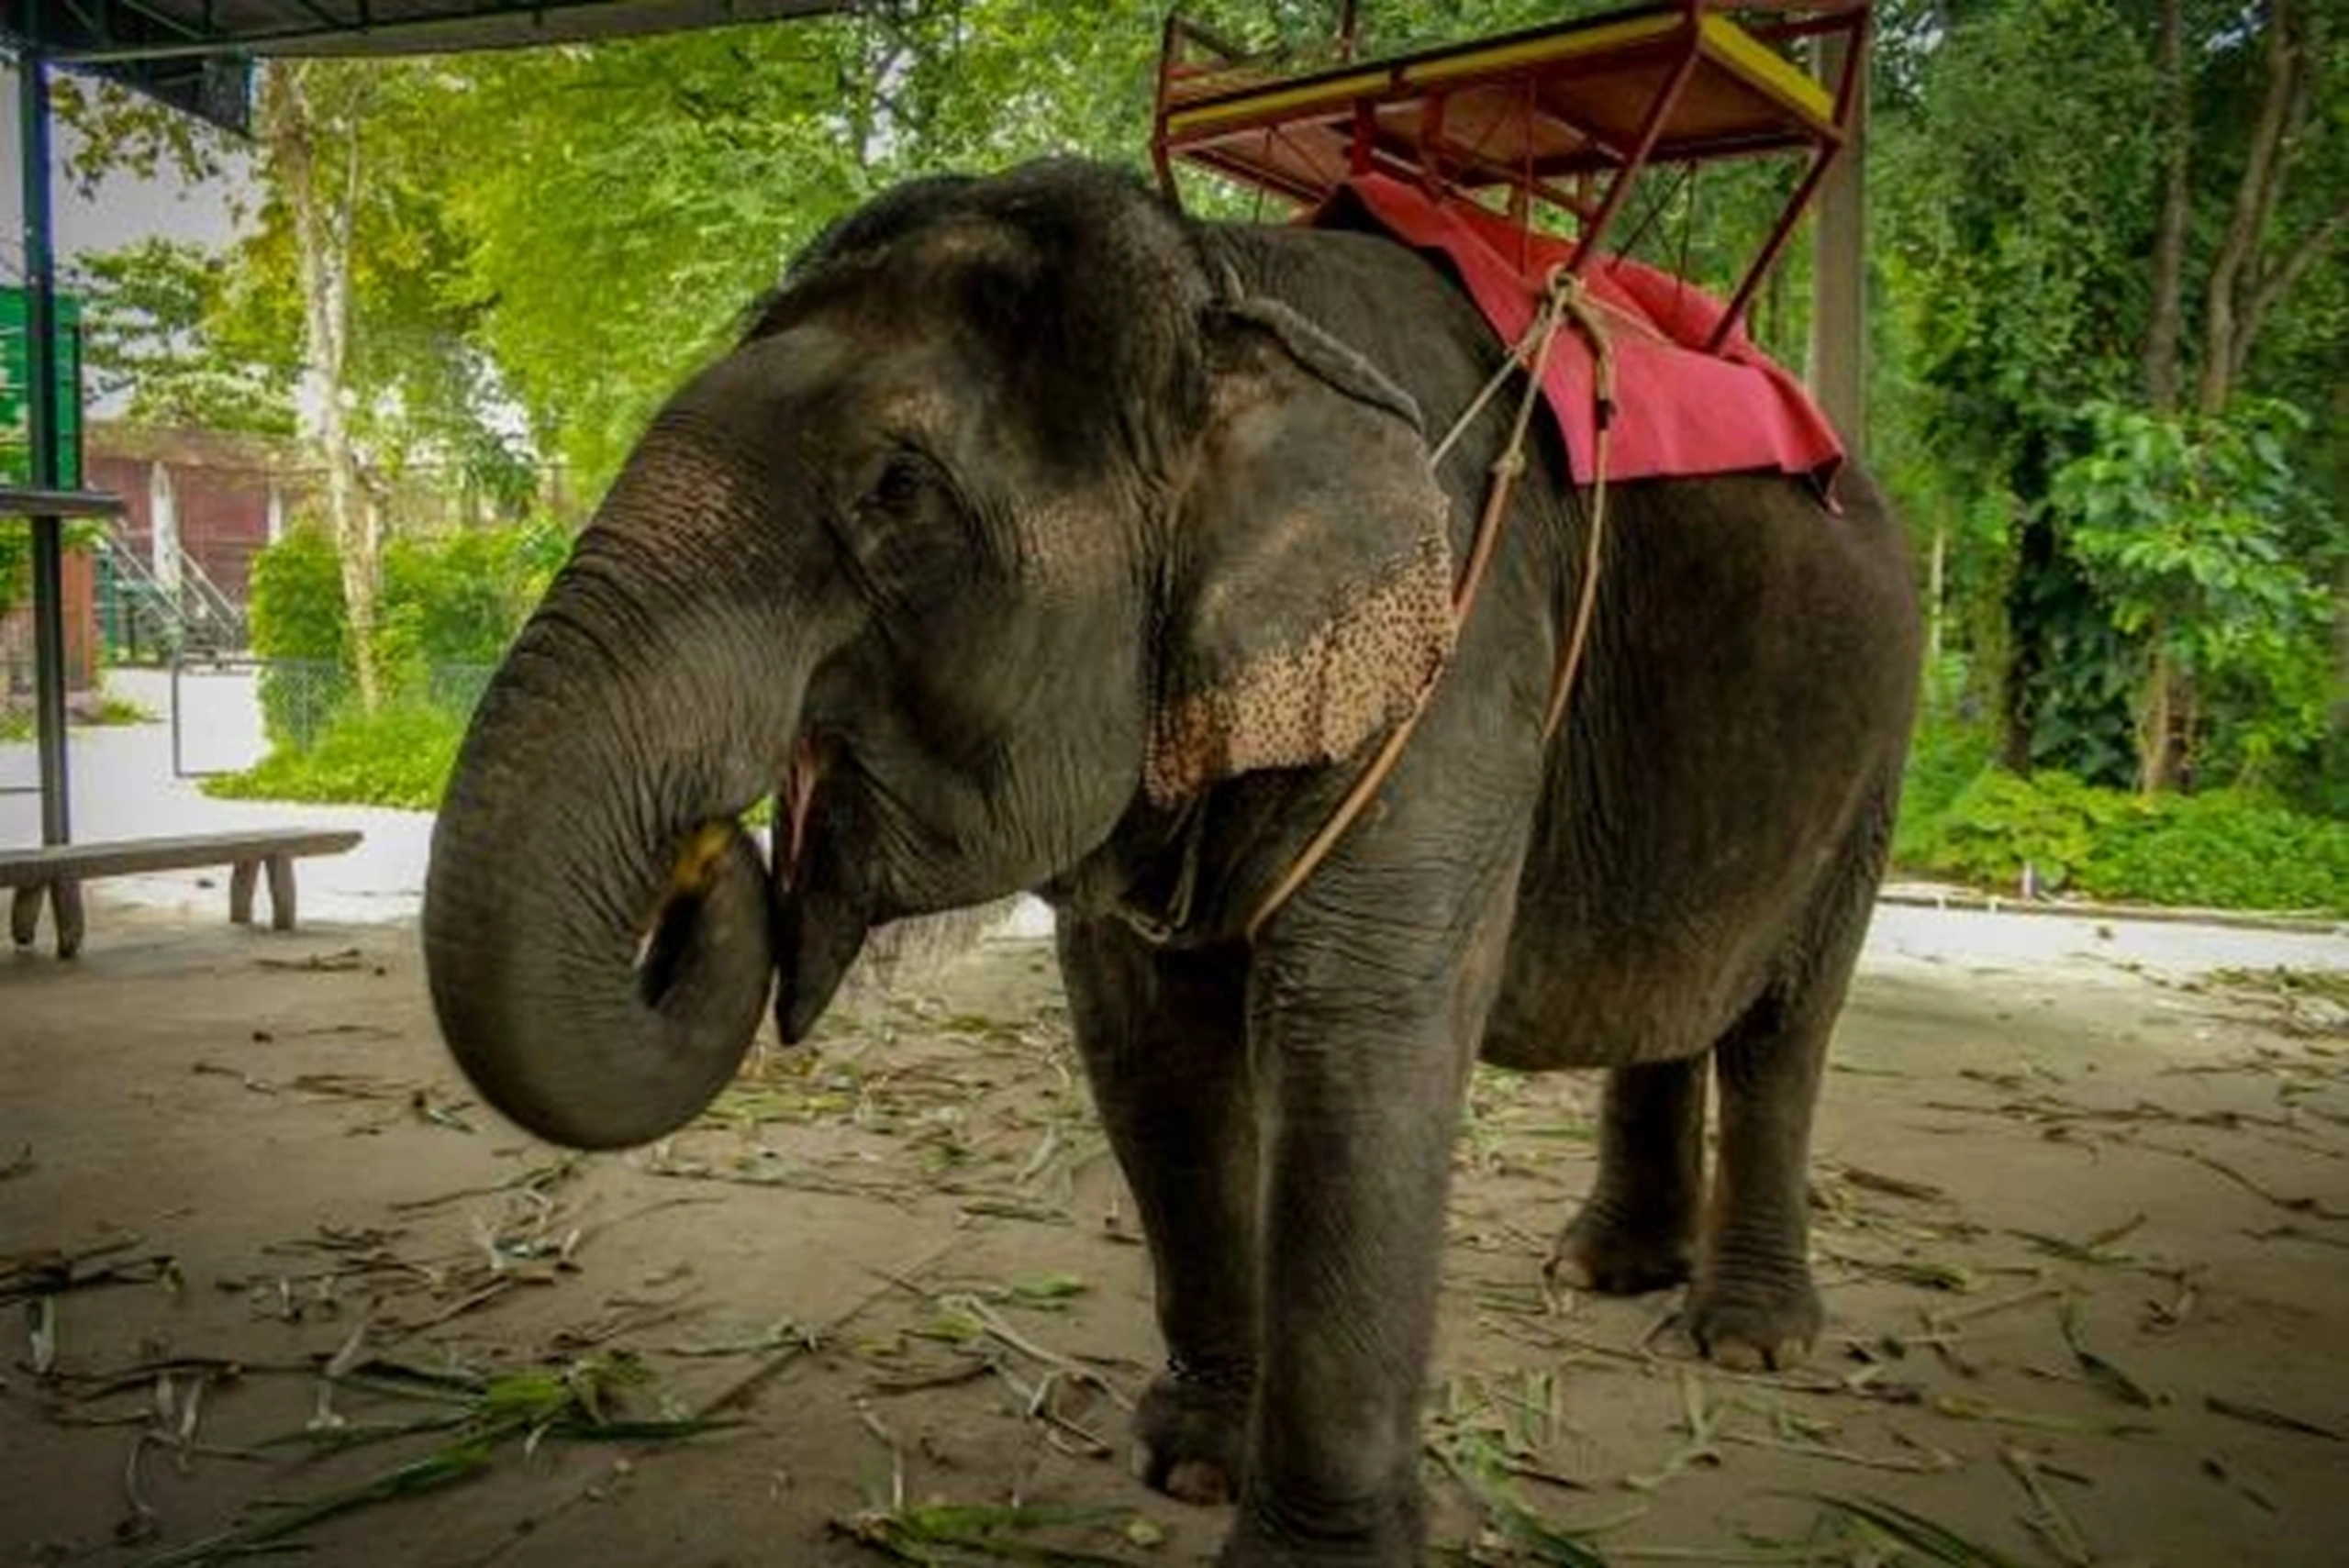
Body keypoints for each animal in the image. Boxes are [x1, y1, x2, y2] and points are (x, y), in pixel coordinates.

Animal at [423, 158, 1921, 1565]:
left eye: (896, 492)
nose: (703, 858)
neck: (1225, 290)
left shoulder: (1461, 646)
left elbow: (1358, 1036)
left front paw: (1308, 1552)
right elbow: (1148, 1048)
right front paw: (1192, 1464)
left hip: (1878, 748)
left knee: (1784, 1020)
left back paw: (1746, 1338)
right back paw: (1608, 1269)